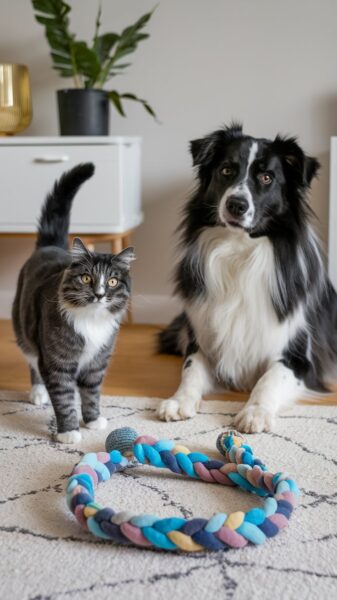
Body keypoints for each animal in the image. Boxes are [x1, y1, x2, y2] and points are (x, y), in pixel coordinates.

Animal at [13, 162, 134, 442]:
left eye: (112, 281)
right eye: (87, 277)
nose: (99, 294)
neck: (91, 320)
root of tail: (49, 246)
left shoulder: (98, 361)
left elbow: (91, 392)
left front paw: (92, 420)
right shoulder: (56, 363)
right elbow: (64, 398)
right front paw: (68, 432)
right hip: (25, 330)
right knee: (32, 362)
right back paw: (38, 393)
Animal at [158, 123, 336, 432]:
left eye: (267, 177)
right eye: (227, 170)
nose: (236, 205)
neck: (238, 250)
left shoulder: (299, 358)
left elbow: (270, 378)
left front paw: (255, 411)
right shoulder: (202, 338)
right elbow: (190, 369)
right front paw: (179, 401)